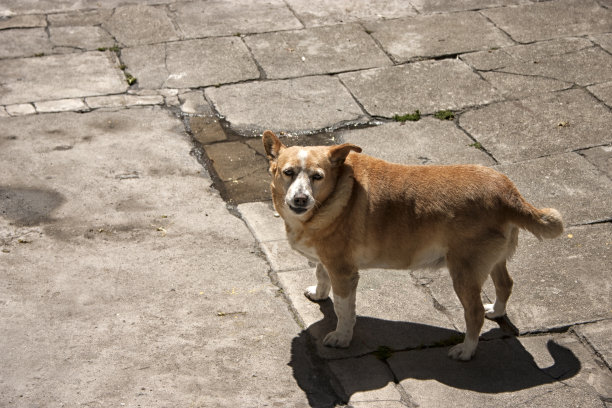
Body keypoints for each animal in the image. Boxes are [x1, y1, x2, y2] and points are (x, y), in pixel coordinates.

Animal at [260, 130, 560, 360]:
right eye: (288, 173)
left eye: (317, 177)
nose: (300, 199)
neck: (335, 194)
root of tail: (508, 193)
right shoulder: (328, 261)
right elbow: (320, 275)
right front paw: (320, 293)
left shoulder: (344, 272)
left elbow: (344, 310)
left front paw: (342, 337)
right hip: (493, 261)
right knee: (505, 285)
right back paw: (496, 312)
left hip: (464, 271)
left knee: (474, 313)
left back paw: (466, 351)